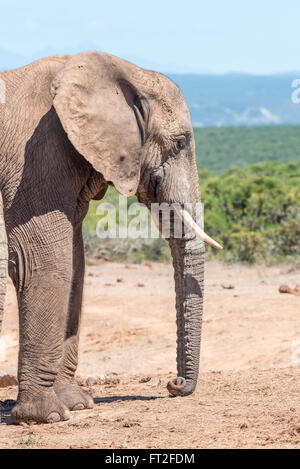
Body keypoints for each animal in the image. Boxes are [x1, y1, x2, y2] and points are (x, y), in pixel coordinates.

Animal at [0, 52, 220, 424]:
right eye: (180, 143)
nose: (173, 384)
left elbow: (75, 263)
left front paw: (76, 403)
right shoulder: (34, 153)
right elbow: (45, 258)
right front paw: (47, 416)